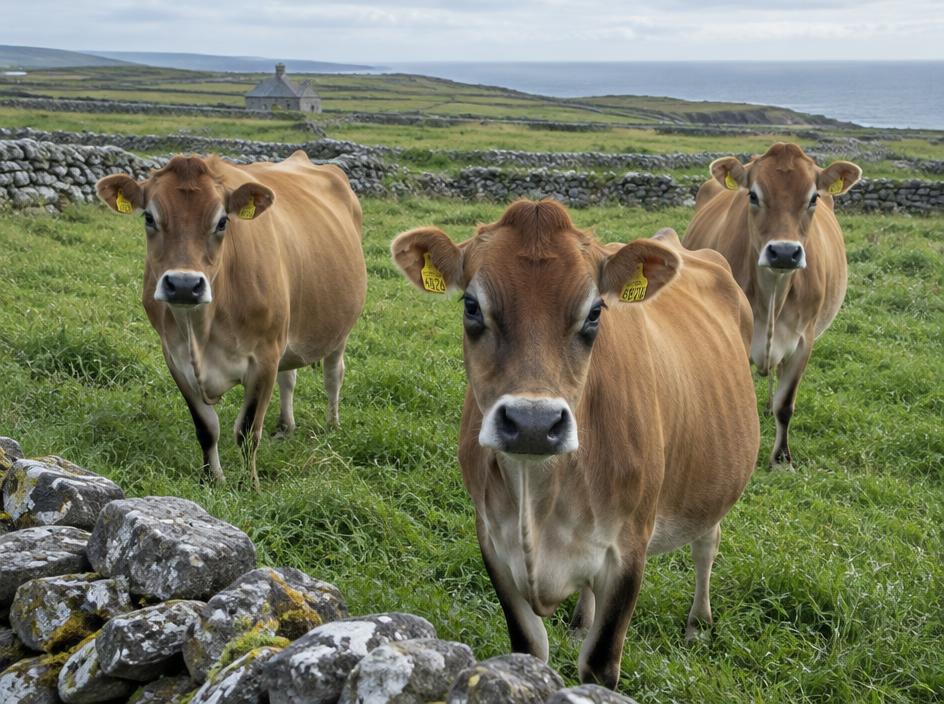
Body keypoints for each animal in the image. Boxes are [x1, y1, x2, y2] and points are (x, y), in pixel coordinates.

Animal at [96, 151, 366, 489]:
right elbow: (206, 427)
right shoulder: (175, 357)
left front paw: (251, 485)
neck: (200, 331)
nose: (183, 284)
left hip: (339, 328)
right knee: (288, 377)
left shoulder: (264, 356)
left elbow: (248, 431)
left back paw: (332, 425)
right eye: (149, 218)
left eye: (222, 221)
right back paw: (285, 426)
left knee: (333, 375)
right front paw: (212, 479)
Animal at [391, 200, 759, 688]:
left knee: (707, 543)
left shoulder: (629, 551)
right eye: (471, 305)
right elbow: (529, 648)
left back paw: (699, 622)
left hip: (713, 482)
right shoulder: (492, 542)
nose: (532, 422)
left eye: (595, 312)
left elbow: (599, 665)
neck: (539, 498)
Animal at [684, 142, 861, 467]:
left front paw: (781, 459)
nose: (784, 252)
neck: (773, 294)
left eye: (813, 197)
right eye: (753, 195)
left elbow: (785, 404)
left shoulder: (804, 340)